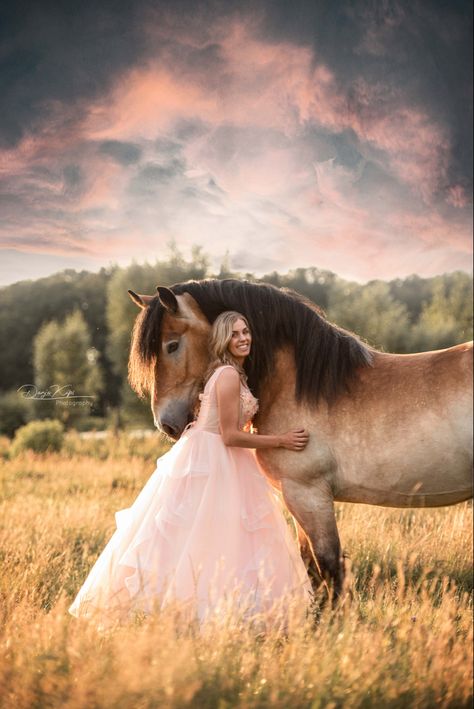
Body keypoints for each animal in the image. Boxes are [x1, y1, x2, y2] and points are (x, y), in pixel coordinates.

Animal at [127, 280, 474, 596]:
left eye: (171, 345)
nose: (167, 424)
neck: (297, 385)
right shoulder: (296, 495)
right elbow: (311, 567)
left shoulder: (307, 493)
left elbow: (329, 568)